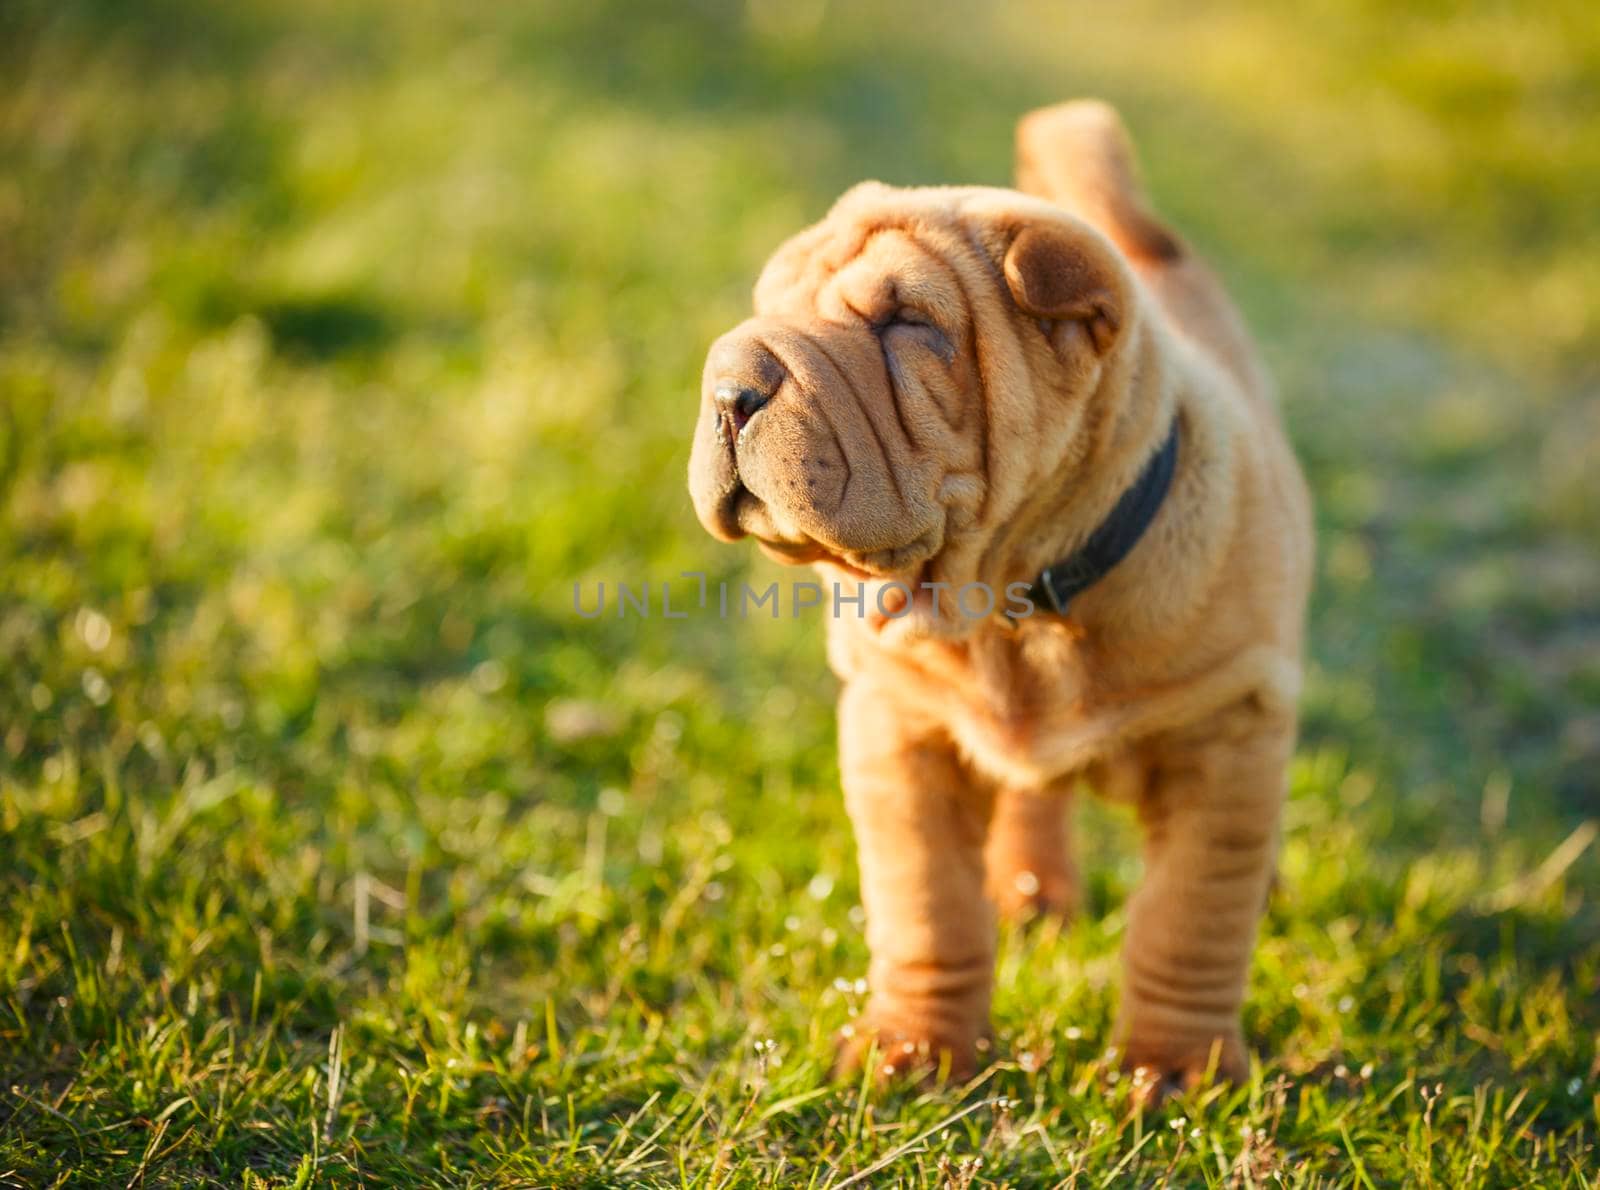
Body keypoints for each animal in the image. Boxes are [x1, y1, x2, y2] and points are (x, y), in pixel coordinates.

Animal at [688, 102, 1312, 1094]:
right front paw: (917, 1048)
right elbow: (927, 907)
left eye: (906, 324)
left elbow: (1188, 921)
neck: (1014, 606)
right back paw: (1030, 889)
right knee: (1032, 800)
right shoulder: (900, 729)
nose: (727, 388)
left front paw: (1175, 1072)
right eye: (766, 308)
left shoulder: (1228, 732)